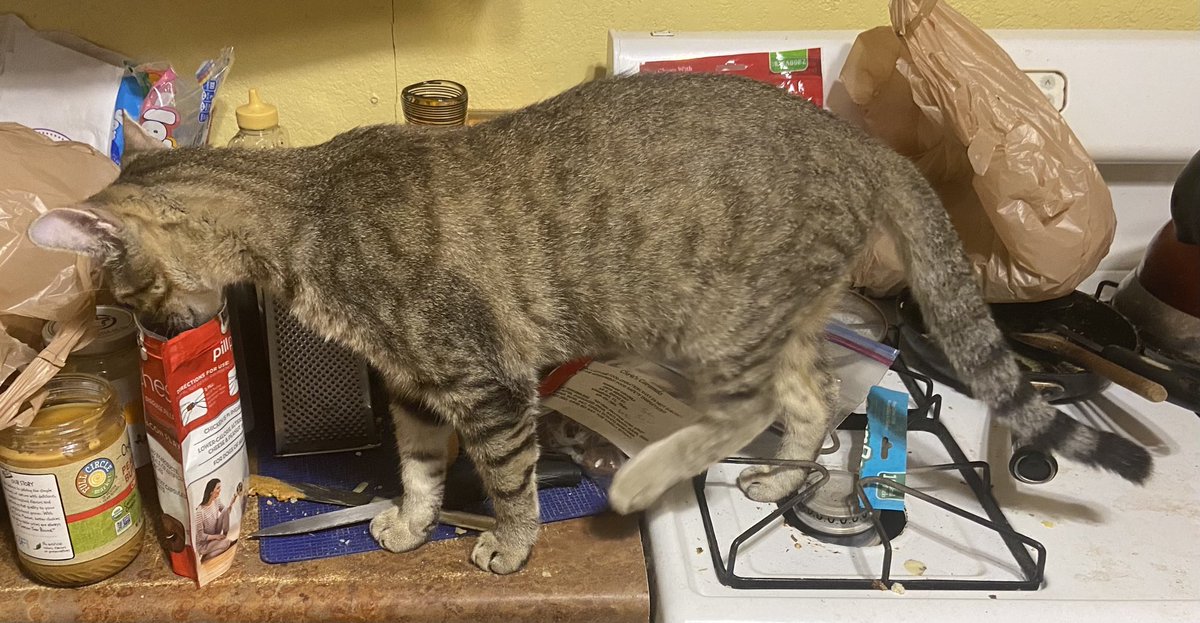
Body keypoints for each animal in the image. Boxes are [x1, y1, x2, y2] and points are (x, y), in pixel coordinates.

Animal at [30, 72, 1152, 576]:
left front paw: (509, 543)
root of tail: (861, 139)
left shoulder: (486, 380)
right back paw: (771, 479)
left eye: (130, 300)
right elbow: (419, 466)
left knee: (754, 404)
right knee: (806, 400)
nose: (148, 335)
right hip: (774, 314)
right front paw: (407, 519)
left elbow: (510, 479)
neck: (303, 207)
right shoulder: (413, 385)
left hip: (711, 319)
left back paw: (649, 473)